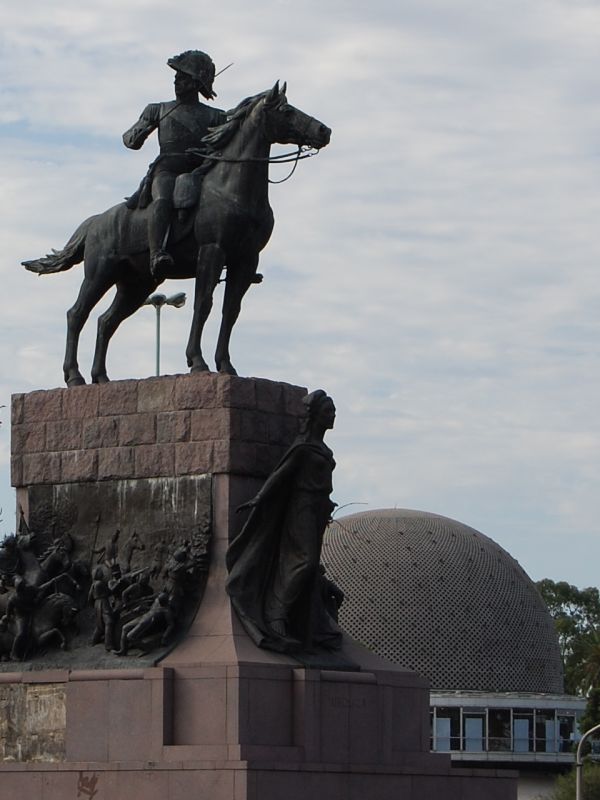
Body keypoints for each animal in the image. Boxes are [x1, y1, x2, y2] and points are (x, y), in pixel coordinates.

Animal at [23, 83, 330, 386]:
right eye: (287, 111)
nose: (323, 131)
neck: (231, 190)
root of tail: (96, 221)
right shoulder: (212, 250)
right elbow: (203, 304)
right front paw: (198, 361)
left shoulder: (245, 260)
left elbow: (230, 311)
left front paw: (226, 365)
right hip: (100, 274)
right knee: (77, 315)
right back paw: (74, 376)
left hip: (136, 284)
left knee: (106, 321)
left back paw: (101, 377)